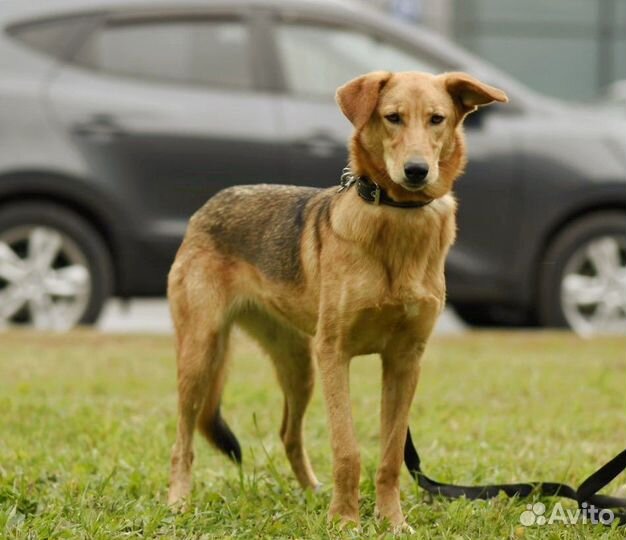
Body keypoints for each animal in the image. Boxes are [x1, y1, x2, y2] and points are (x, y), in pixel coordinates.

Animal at [167, 69, 508, 528]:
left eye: (437, 119)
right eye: (393, 117)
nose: (417, 171)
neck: (397, 219)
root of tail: (208, 206)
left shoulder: (404, 361)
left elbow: (390, 456)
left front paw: (392, 522)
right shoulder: (335, 353)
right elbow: (347, 450)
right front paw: (346, 521)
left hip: (299, 367)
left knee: (288, 434)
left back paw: (312, 491)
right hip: (201, 355)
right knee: (183, 440)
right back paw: (178, 501)